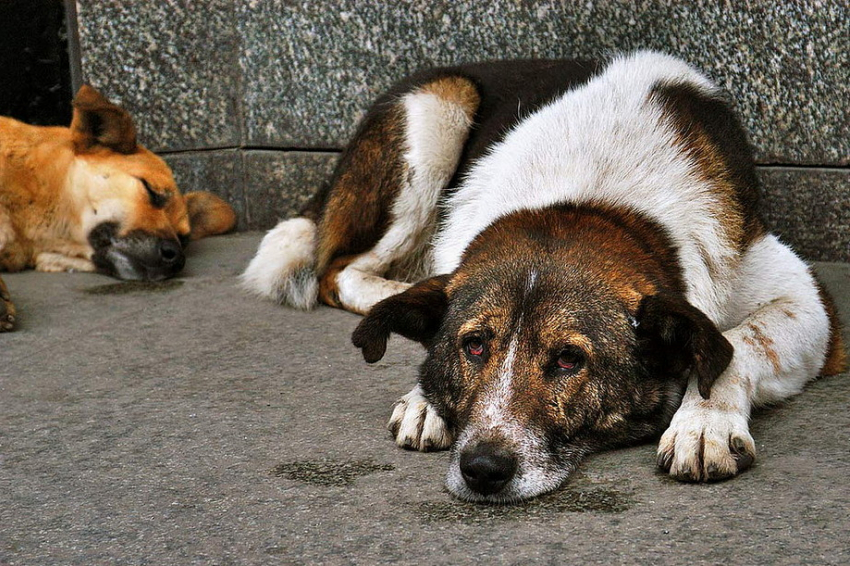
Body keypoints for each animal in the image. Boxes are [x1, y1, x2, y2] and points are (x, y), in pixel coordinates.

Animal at [242, 52, 844, 506]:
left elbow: (739, 342)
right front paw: (422, 393)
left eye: (569, 360)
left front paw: (703, 424)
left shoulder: (809, 302)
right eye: (475, 346)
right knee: (336, 270)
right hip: (438, 106)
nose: (483, 468)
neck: (587, 199)